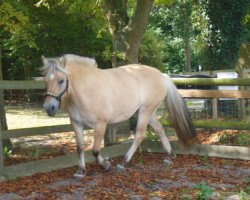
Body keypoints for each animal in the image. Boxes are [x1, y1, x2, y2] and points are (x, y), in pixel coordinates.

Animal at [42, 54, 195, 179]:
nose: (49, 108)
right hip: (146, 112)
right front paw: (80, 171)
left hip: (145, 112)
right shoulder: (76, 124)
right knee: (159, 128)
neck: (87, 89)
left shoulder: (100, 124)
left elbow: (95, 151)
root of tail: (161, 75)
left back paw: (123, 163)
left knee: (140, 135)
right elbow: (80, 148)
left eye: (61, 80)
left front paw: (106, 165)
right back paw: (168, 156)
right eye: (46, 81)